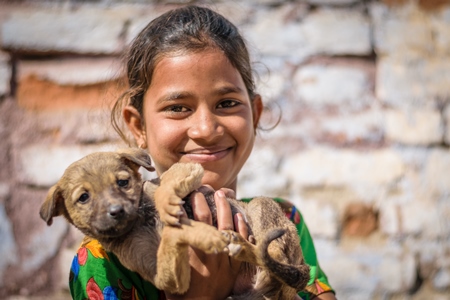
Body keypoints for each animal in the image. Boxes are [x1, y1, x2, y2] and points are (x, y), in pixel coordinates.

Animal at [40, 149, 312, 298]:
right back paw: (237, 244)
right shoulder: (166, 278)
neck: (140, 220)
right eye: (84, 198)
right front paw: (198, 233)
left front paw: (167, 205)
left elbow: (166, 185)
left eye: (123, 182)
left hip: (261, 209)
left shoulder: (187, 167)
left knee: (274, 254)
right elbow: (171, 240)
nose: (117, 211)